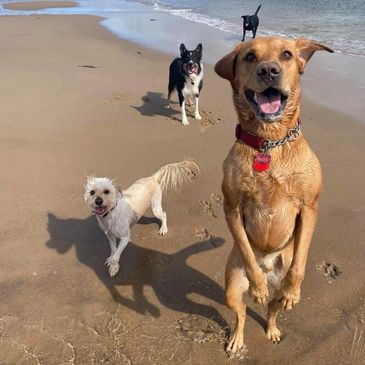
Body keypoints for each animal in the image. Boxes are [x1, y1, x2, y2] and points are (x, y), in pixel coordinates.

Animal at [215, 37, 332, 356]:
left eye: (287, 54)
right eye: (249, 56)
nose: (269, 70)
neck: (269, 142)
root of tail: (270, 268)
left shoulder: (309, 207)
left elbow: (301, 260)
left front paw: (293, 288)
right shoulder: (232, 206)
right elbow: (245, 246)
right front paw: (257, 286)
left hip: (277, 292)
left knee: (272, 310)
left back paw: (273, 328)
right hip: (231, 287)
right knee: (242, 313)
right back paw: (238, 338)